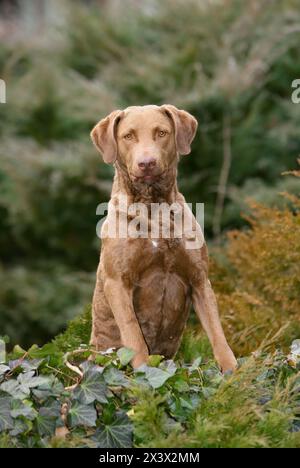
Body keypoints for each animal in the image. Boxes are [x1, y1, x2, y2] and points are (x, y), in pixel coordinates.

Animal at [89, 104, 237, 372]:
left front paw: (231, 369)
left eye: (161, 133)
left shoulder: (200, 279)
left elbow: (217, 332)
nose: (146, 163)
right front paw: (143, 371)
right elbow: (133, 334)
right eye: (128, 136)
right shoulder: (117, 282)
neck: (153, 207)